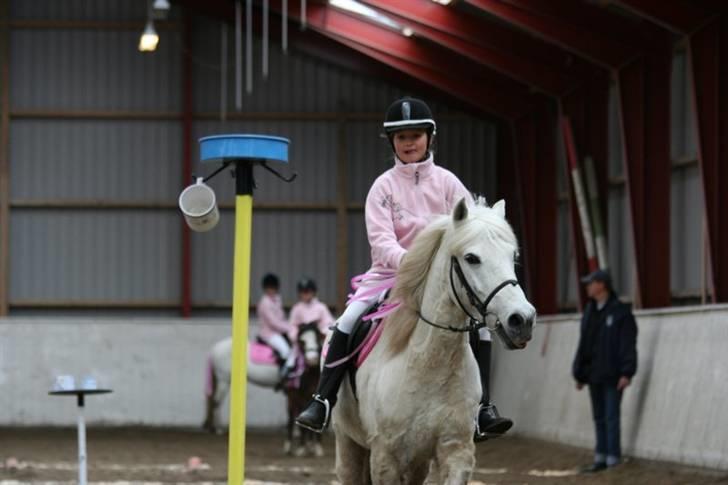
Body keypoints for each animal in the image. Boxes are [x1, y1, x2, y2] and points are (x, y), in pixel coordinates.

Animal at [332, 198, 532, 484]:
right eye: (471, 258)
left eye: (512, 256)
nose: (522, 320)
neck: (428, 363)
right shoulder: (385, 457)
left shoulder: (455, 450)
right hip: (348, 443)